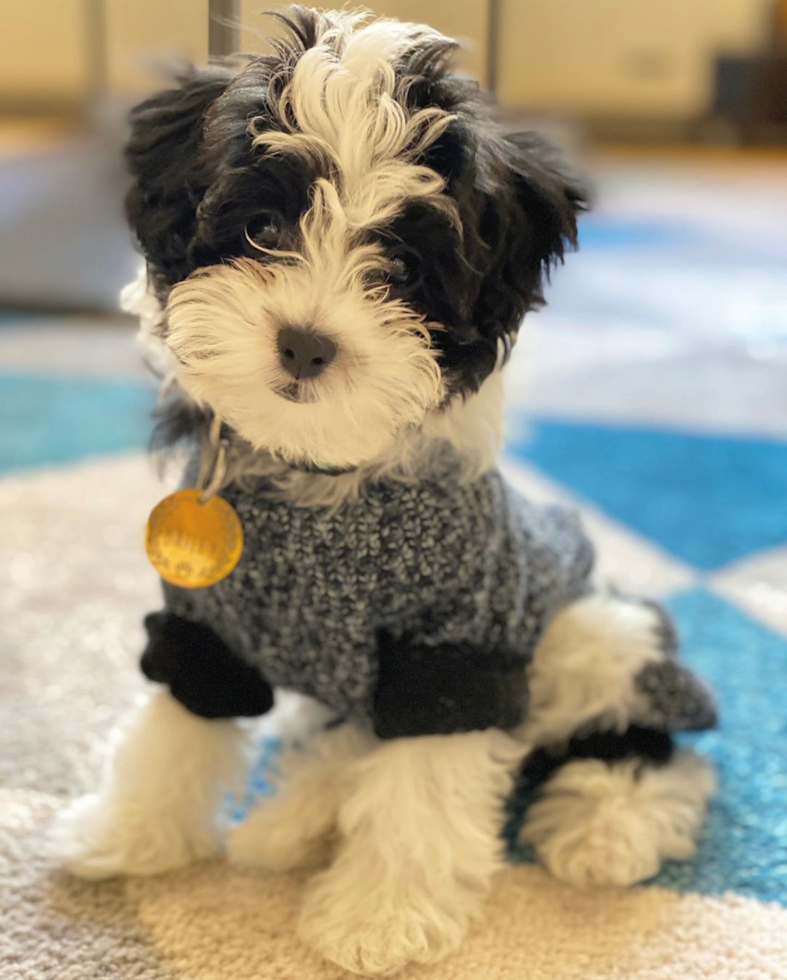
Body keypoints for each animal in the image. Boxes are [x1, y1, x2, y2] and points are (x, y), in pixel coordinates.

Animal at [52, 7, 720, 972]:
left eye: (400, 271)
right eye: (263, 226)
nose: (305, 342)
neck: (321, 474)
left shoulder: (457, 643)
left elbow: (422, 787)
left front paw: (379, 918)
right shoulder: (205, 623)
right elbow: (174, 725)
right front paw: (126, 833)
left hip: (587, 631)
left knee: (642, 739)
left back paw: (606, 829)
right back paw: (299, 812)